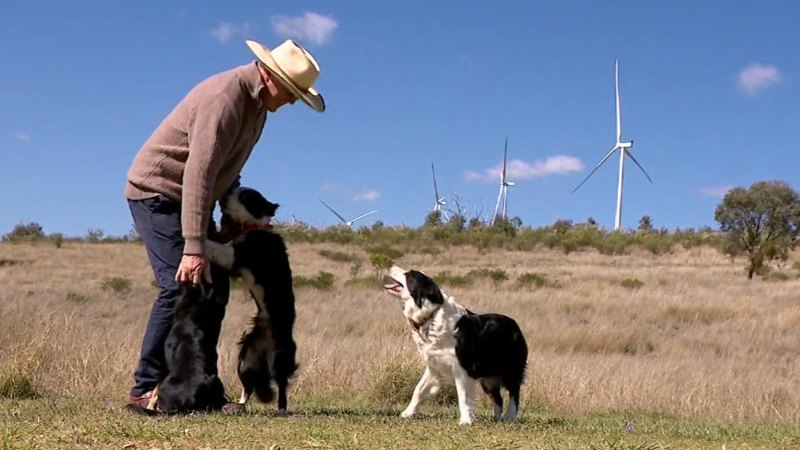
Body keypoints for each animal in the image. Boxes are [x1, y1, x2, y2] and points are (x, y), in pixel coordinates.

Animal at [205, 187, 298, 414]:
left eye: (245, 196)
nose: (225, 192)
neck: (255, 227)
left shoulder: (236, 255)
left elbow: (216, 247)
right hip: (245, 359)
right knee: (249, 386)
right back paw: (237, 405)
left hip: (280, 358)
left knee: (281, 384)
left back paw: (282, 408)